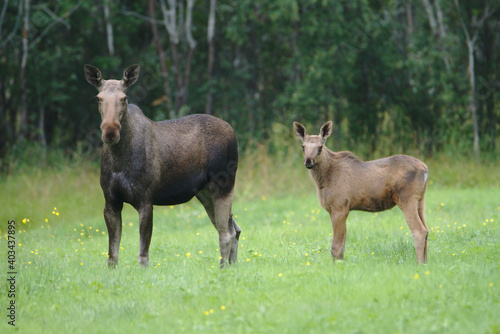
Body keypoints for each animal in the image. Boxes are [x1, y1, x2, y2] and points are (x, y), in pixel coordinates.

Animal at [85, 64, 241, 268]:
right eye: (98, 97)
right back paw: (232, 266)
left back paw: (224, 268)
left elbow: (143, 255)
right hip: (204, 192)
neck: (120, 160)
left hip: (223, 184)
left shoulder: (145, 199)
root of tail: (233, 133)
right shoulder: (111, 201)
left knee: (226, 233)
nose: (110, 131)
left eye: (124, 98)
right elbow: (112, 255)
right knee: (235, 228)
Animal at [292, 120, 430, 264]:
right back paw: (426, 262)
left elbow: (335, 248)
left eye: (320, 147)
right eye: (303, 146)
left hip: (406, 198)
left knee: (419, 230)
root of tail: (425, 169)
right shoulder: (339, 210)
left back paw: (419, 264)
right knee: (427, 229)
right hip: (421, 199)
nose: (308, 162)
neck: (322, 180)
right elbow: (342, 247)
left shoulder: (339, 208)